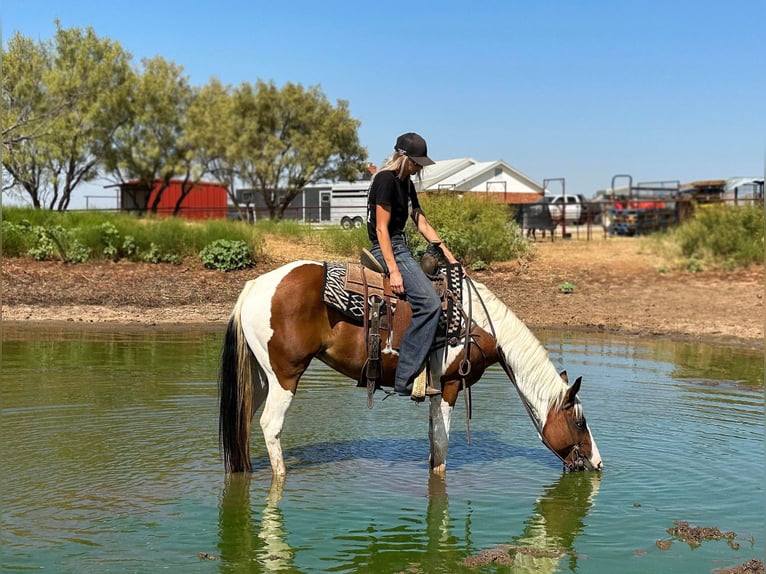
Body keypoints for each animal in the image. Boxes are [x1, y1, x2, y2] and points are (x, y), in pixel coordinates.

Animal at [219, 260, 604, 476]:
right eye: (579, 422)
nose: (598, 463)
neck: (478, 325)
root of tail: (255, 286)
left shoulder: (435, 389)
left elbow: (434, 441)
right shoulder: (450, 385)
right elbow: (442, 447)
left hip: (260, 380)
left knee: (243, 423)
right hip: (285, 377)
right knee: (270, 426)